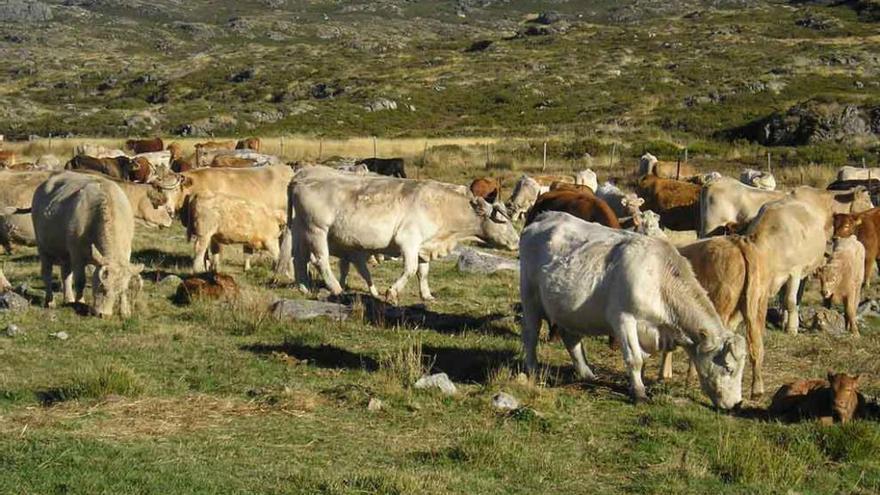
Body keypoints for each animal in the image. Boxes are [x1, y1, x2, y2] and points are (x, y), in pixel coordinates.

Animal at [30, 170, 144, 318]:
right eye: (102, 287)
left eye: (117, 292)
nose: (103, 315)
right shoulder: (77, 254)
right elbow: (80, 281)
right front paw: (80, 303)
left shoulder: (126, 253)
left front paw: (125, 310)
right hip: (43, 247)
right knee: (47, 273)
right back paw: (50, 301)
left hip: (65, 253)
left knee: (65, 274)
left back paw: (69, 299)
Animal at [288, 170, 524, 302]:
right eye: (503, 221)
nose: (516, 242)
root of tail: (300, 180)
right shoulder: (409, 241)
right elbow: (410, 269)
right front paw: (392, 292)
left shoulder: (423, 246)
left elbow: (423, 272)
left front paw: (427, 295)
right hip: (317, 230)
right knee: (320, 260)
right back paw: (336, 288)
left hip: (301, 230)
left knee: (299, 258)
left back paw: (304, 287)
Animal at [520, 211, 744, 408]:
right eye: (729, 368)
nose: (737, 404)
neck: (659, 279)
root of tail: (546, 216)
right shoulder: (623, 318)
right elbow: (634, 359)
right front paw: (639, 393)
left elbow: (642, 359)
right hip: (530, 297)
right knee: (531, 334)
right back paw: (532, 369)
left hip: (569, 310)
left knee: (571, 339)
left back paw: (586, 373)